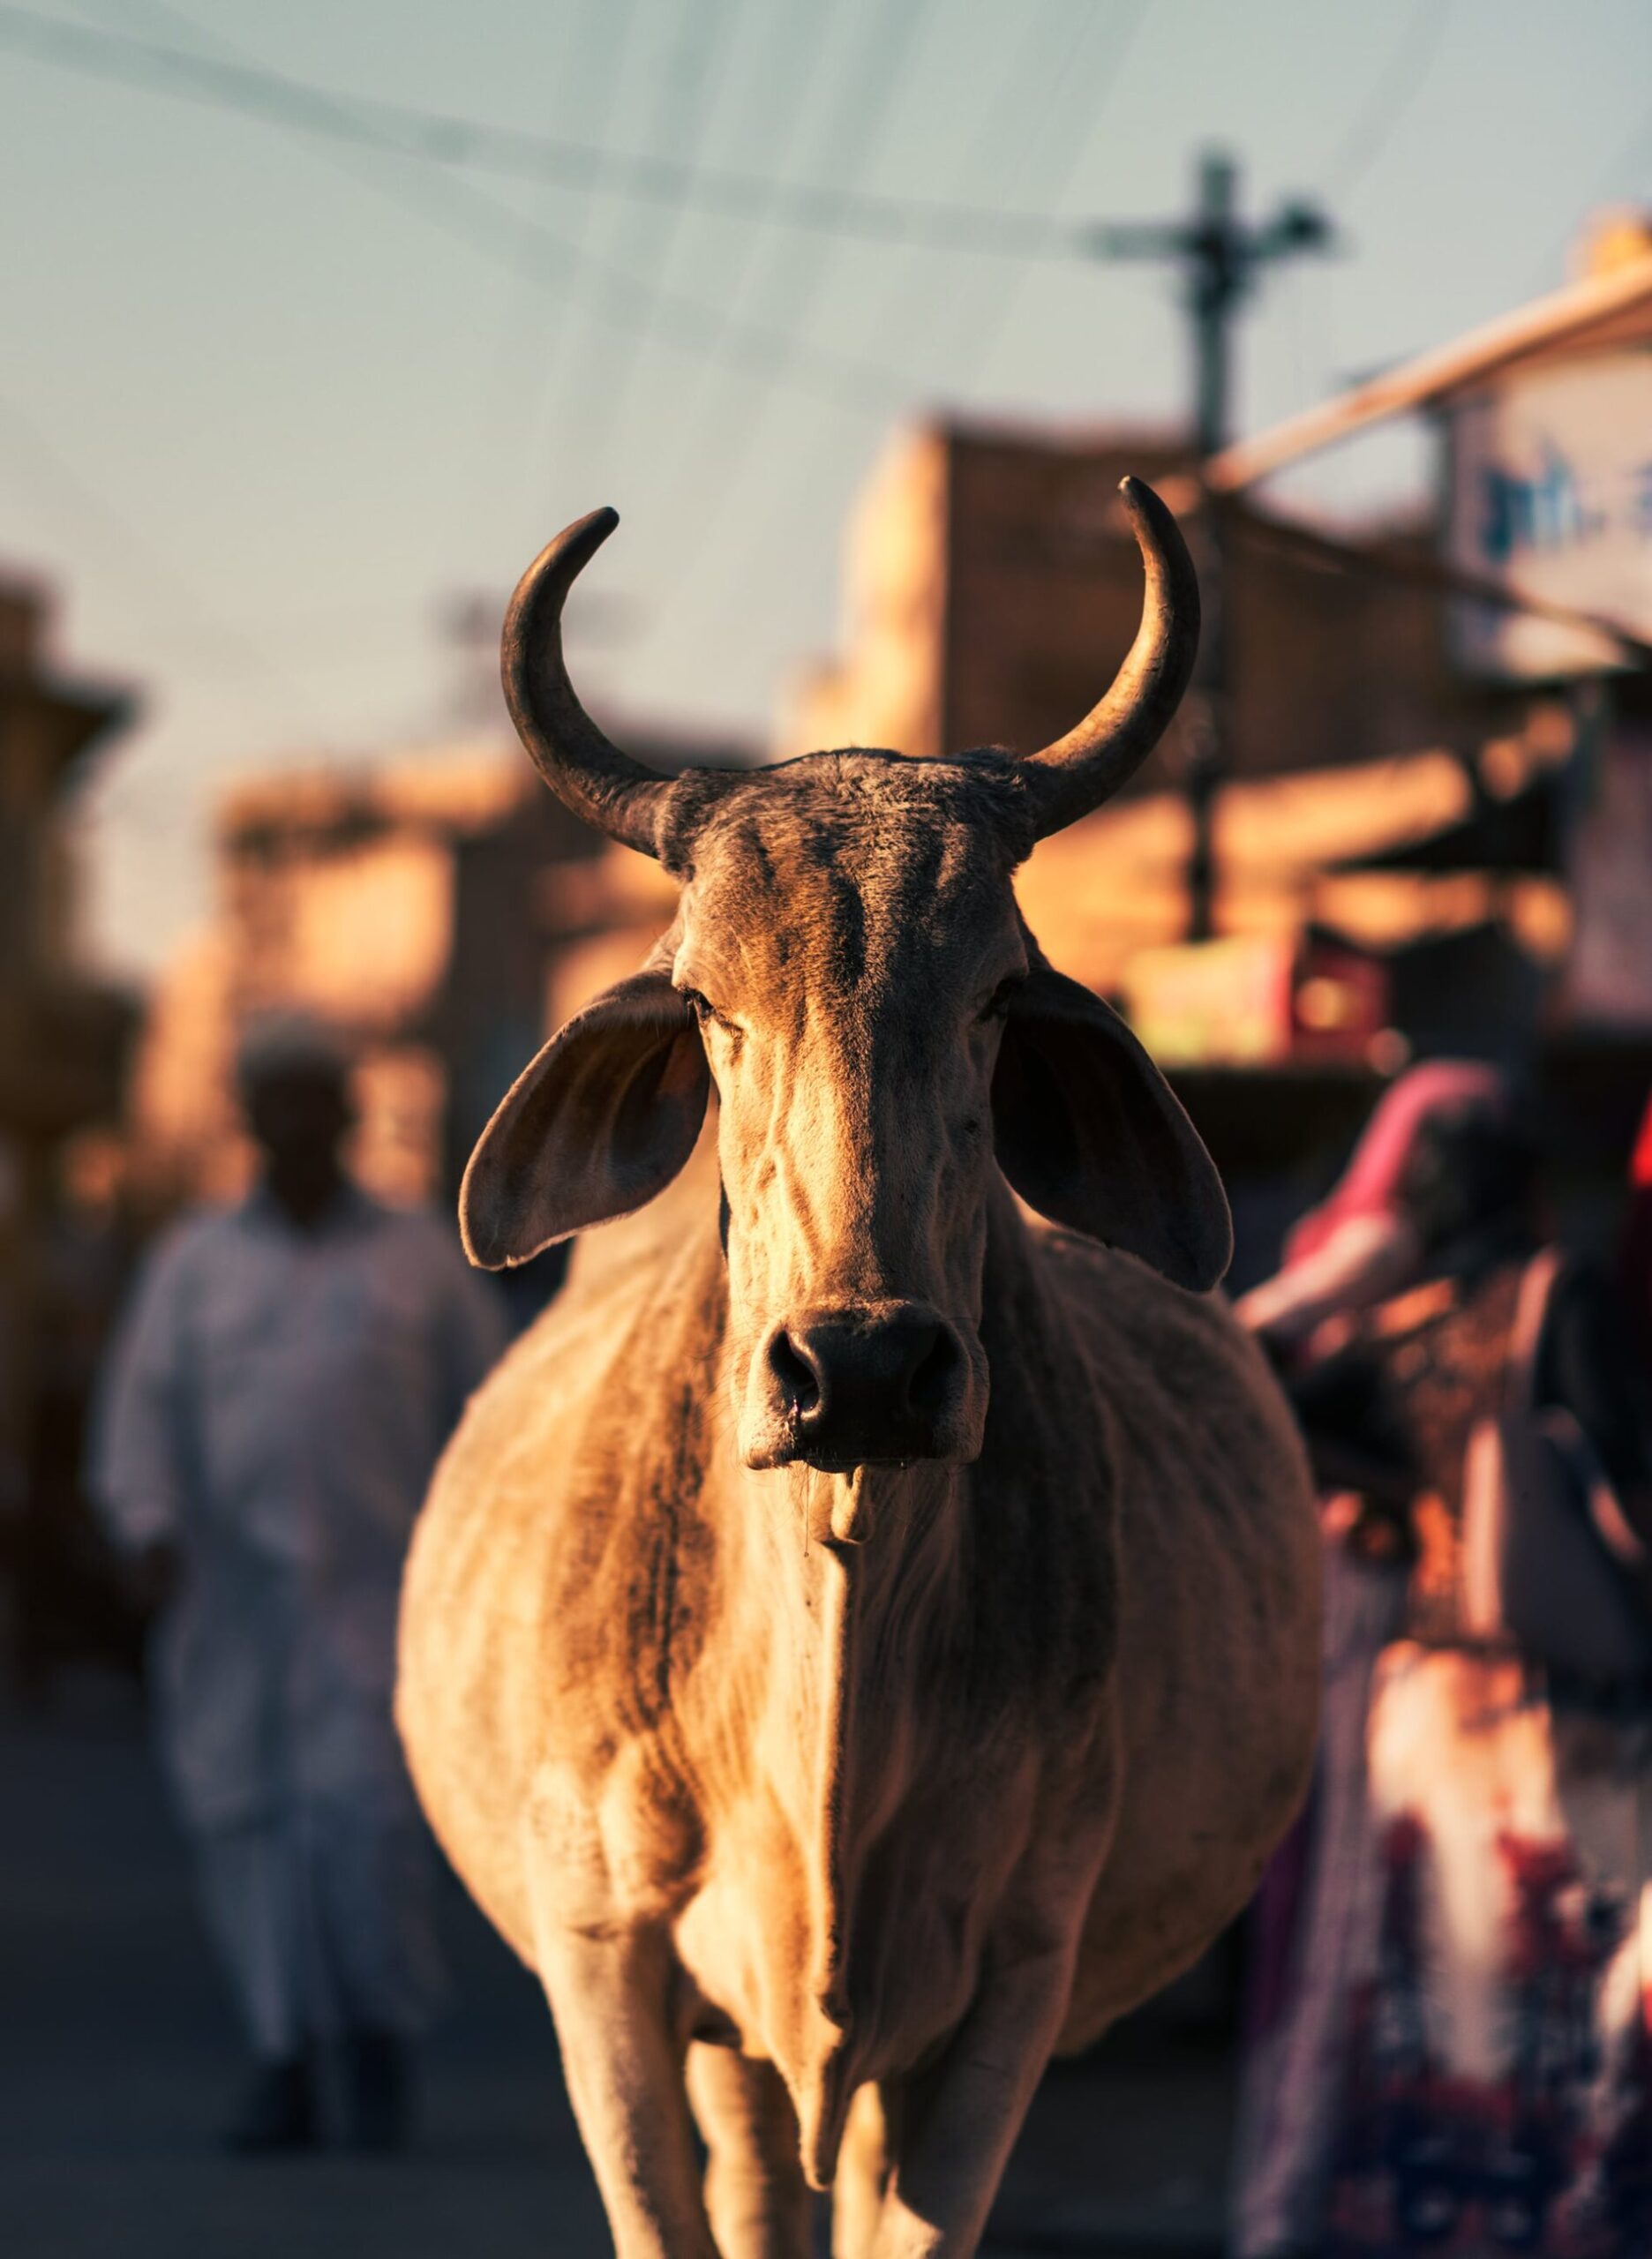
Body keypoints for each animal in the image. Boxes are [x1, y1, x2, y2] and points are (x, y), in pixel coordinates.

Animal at [400, 481, 1319, 2259]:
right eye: (703, 999)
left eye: (998, 994)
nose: (865, 1370)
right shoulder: (606, 1971)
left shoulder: (1009, 1983)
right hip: (729, 2047)